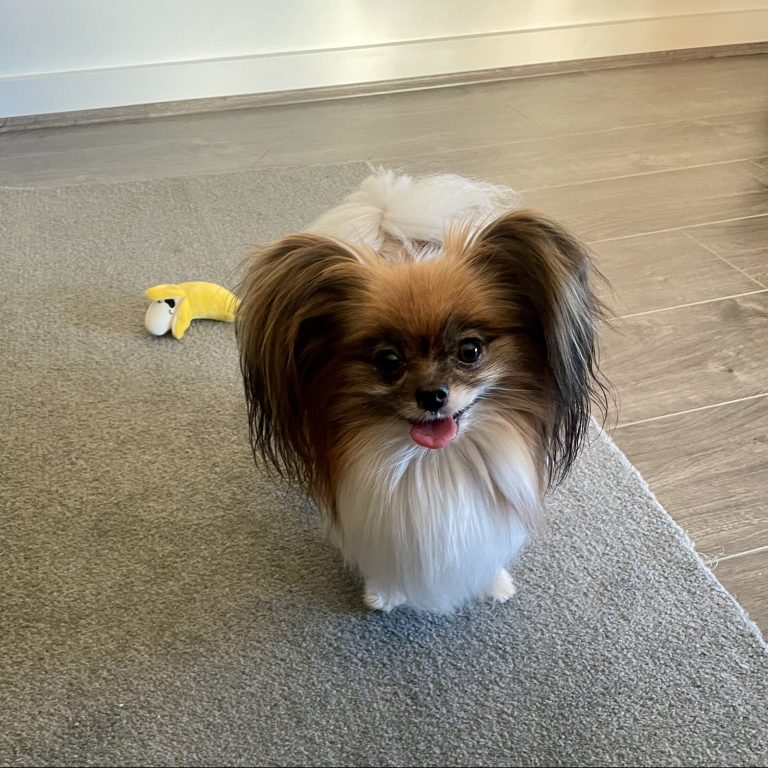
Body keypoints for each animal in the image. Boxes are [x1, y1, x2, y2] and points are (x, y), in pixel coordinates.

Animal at [237, 171, 608, 616]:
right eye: (387, 361)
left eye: (470, 350)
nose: (432, 395)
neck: (433, 466)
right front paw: (384, 593)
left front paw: (494, 584)